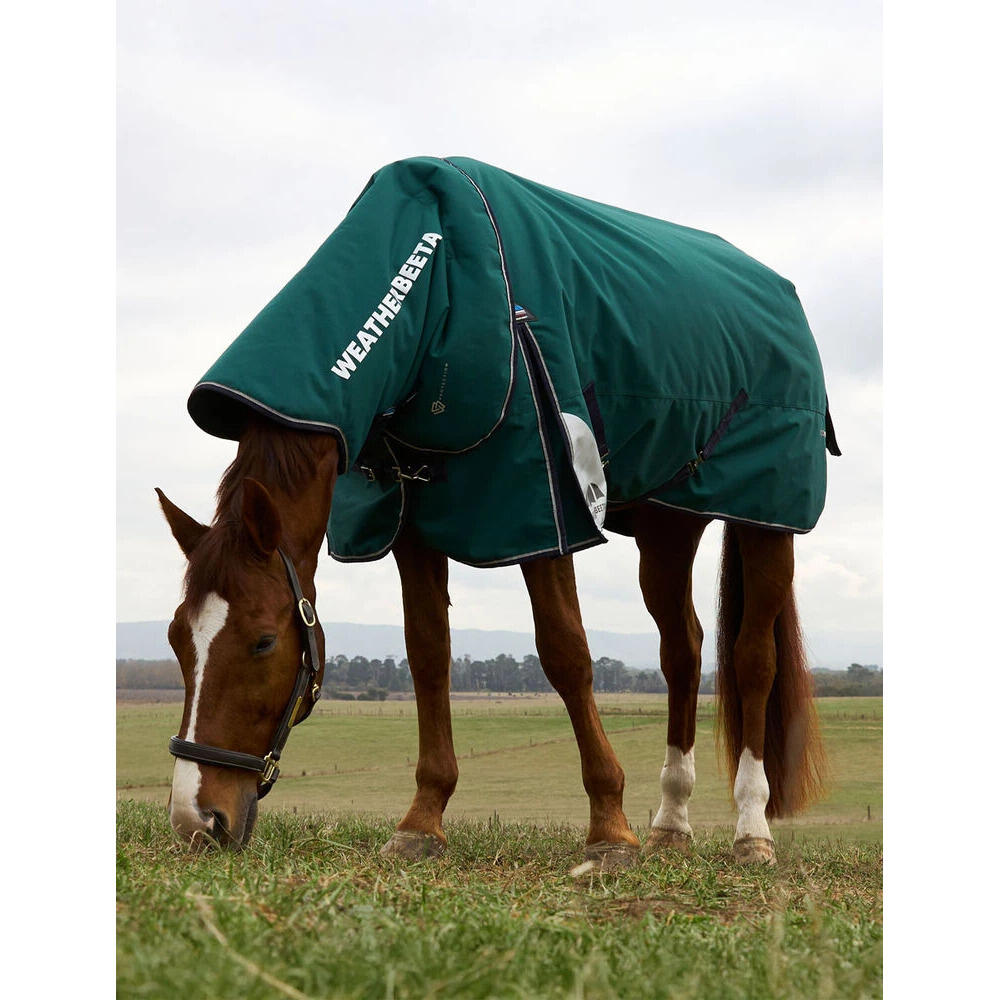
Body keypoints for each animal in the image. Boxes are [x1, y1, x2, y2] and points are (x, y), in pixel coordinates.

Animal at [157, 156, 832, 866]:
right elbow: (428, 654)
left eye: (263, 640)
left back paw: (751, 830)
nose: (196, 820)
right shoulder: (409, 526)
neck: (438, 288)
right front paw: (423, 820)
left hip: (766, 520)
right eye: (176, 637)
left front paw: (609, 828)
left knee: (753, 660)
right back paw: (671, 821)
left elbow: (566, 654)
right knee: (683, 651)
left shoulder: (539, 509)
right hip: (668, 527)